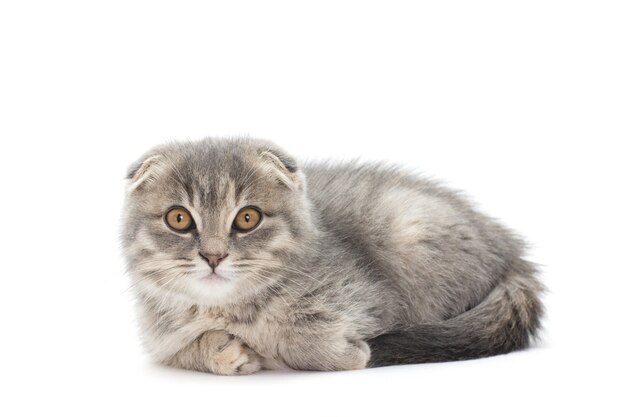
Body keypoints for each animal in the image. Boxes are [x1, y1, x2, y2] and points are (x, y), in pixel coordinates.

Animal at [120, 137, 540, 374]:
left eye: (247, 218)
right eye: (178, 219)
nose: (213, 256)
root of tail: (511, 251)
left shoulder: (372, 299)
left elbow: (300, 336)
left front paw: (343, 353)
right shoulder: (157, 338)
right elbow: (179, 350)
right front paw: (221, 350)